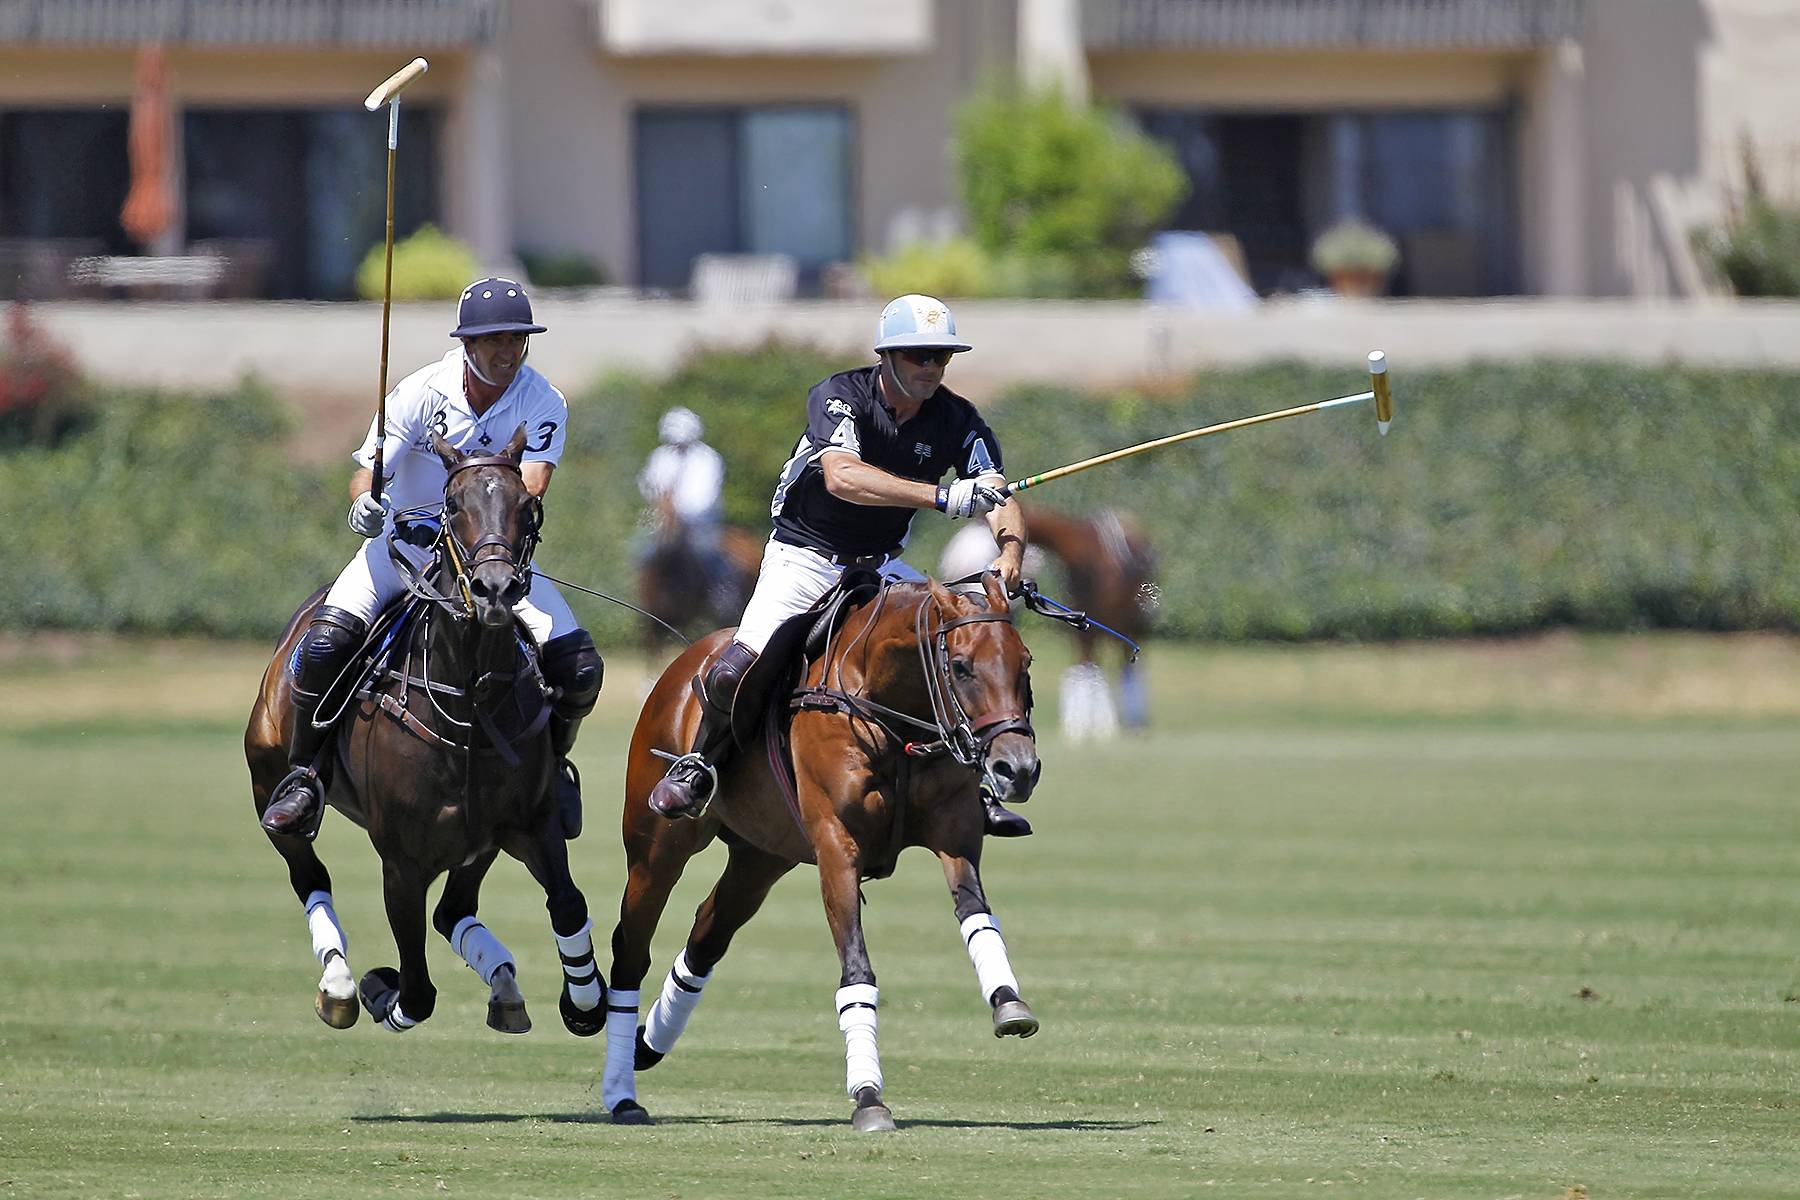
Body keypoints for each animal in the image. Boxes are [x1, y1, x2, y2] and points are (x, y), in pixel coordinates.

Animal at [598, 571, 1041, 1130]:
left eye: (1025, 662)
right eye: (960, 666)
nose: (1018, 768)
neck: (893, 713)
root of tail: (683, 661)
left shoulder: (956, 835)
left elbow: (977, 916)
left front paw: (1009, 1003)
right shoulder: (837, 845)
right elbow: (856, 968)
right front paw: (869, 1097)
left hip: (762, 856)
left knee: (706, 935)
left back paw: (648, 1043)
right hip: (656, 848)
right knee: (631, 948)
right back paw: (621, 1093)